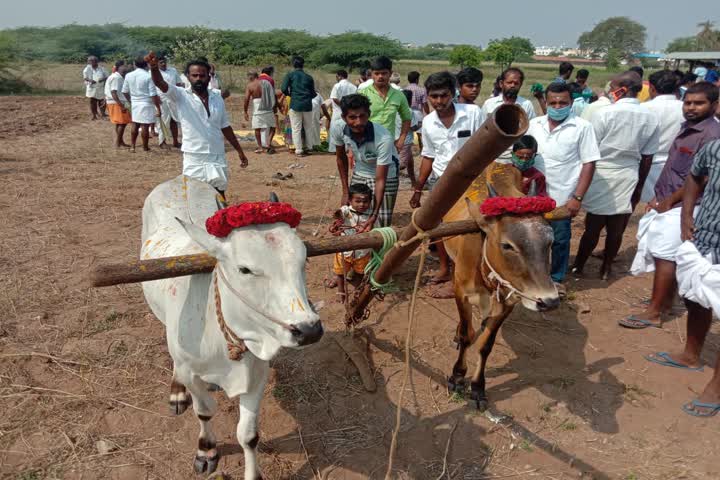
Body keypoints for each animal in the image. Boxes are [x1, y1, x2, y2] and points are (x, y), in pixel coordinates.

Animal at [141, 175, 320, 476]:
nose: (309, 330)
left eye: (304, 258)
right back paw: (177, 392)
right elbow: (204, 412)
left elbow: (248, 435)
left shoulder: (258, 374)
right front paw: (206, 450)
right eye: (245, 269)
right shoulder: (192, 375)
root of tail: (182, 178)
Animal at [444, 161, 568, 408]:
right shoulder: (462, 292)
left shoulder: (509, 300)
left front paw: (477, 387)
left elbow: (486, 344)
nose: (549, 301)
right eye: (507, 245)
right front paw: (457, 376)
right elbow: (466, 336)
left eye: (550, 242)